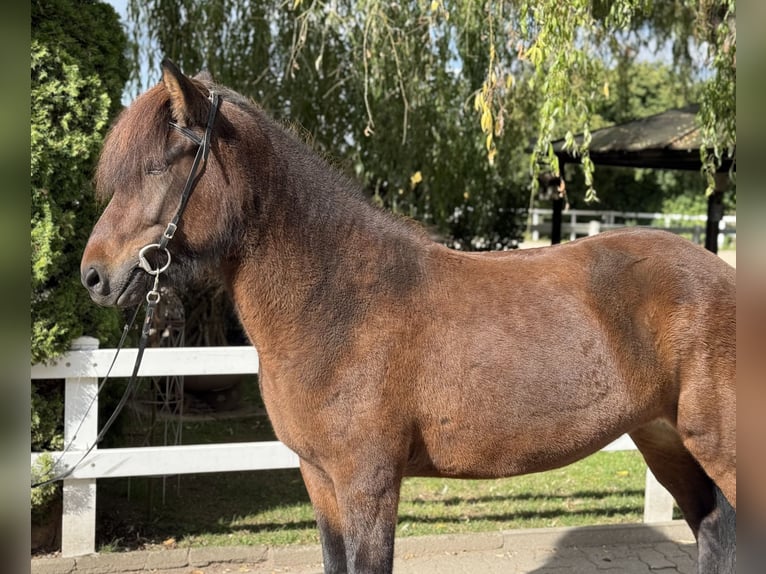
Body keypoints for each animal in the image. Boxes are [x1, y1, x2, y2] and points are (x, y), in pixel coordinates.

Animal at [81, 59, 736, 573]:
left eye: (160, 165)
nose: (94, 276)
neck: (337, 304)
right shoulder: (320, 481)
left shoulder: (368, 485)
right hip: (665, 439)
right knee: (712, 528)